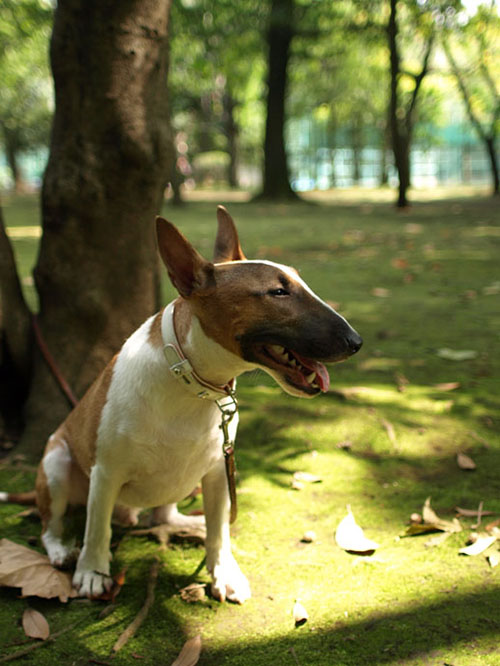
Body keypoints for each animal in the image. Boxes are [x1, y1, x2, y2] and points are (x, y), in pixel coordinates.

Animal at [2, 206, 364, 600]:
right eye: (278, 291)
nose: (355, 342)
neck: (193, 384)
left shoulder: (219, 469)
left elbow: (219, 530)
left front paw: (224, 572)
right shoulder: (106, 470)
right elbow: (97, 528)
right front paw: (93, 573)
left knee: (166, 515)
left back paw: (190, 524)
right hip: (56, 464)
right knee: (52, 526)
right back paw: (62, 552)